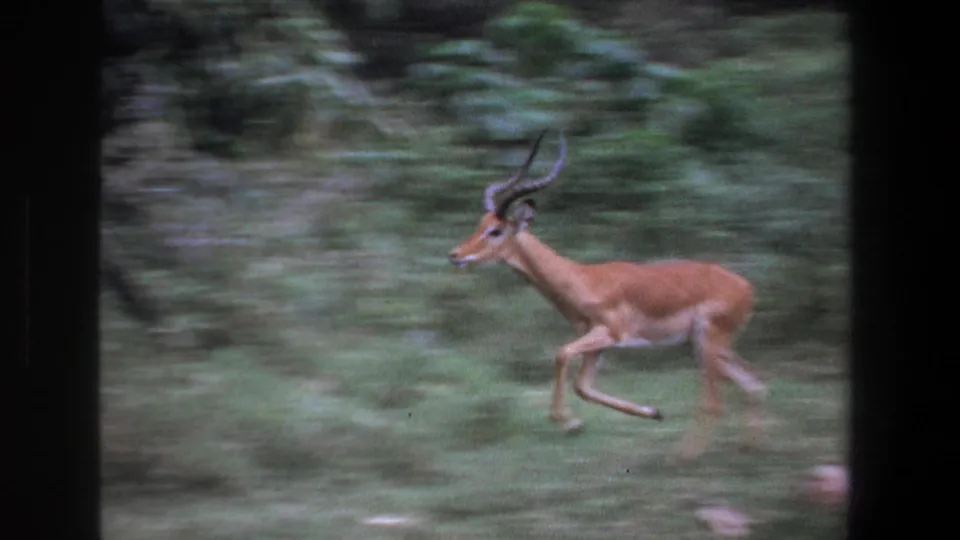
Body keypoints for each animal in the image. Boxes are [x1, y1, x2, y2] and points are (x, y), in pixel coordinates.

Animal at [447, 130, 767, 461]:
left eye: (496, 231)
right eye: (481, 225)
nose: (455, 255)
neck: (583, 280)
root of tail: (746, 288)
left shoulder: (610, 333)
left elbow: (561, 354)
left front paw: (568, 422)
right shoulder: (597, 343)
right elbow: (583, 386)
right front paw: (650, 412)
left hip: (708, 343)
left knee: (716, 402)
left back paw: (682, 456)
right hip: (712, 346)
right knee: (754, 381)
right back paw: (753, 447)